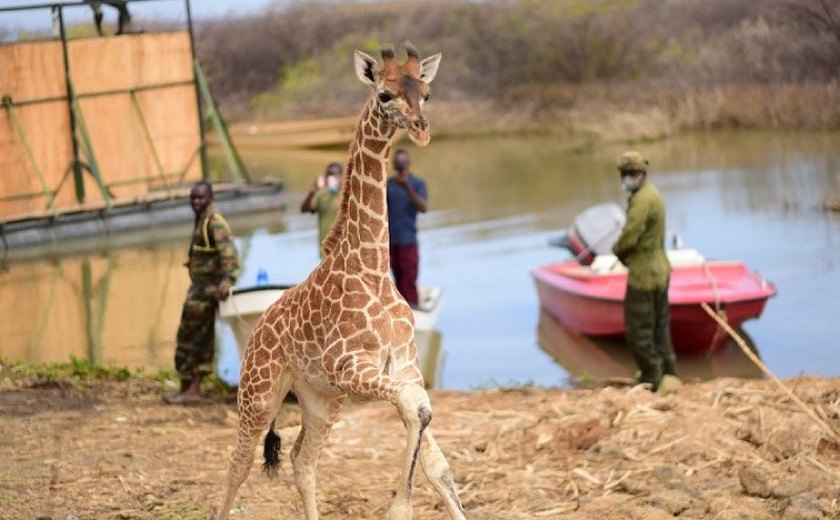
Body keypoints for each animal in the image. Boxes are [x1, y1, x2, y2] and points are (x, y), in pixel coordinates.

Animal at [212, 43, 466, 520]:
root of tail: (256, 331)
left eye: (427, 92)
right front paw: (399, 507)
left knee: (301, 459)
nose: (421, 130)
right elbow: (414, 411)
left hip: (320, 399)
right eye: (384, 94)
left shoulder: (405, 365)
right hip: (259, 392)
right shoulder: (348, 364)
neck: (372, 267)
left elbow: (434, 450)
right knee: (238, 463)